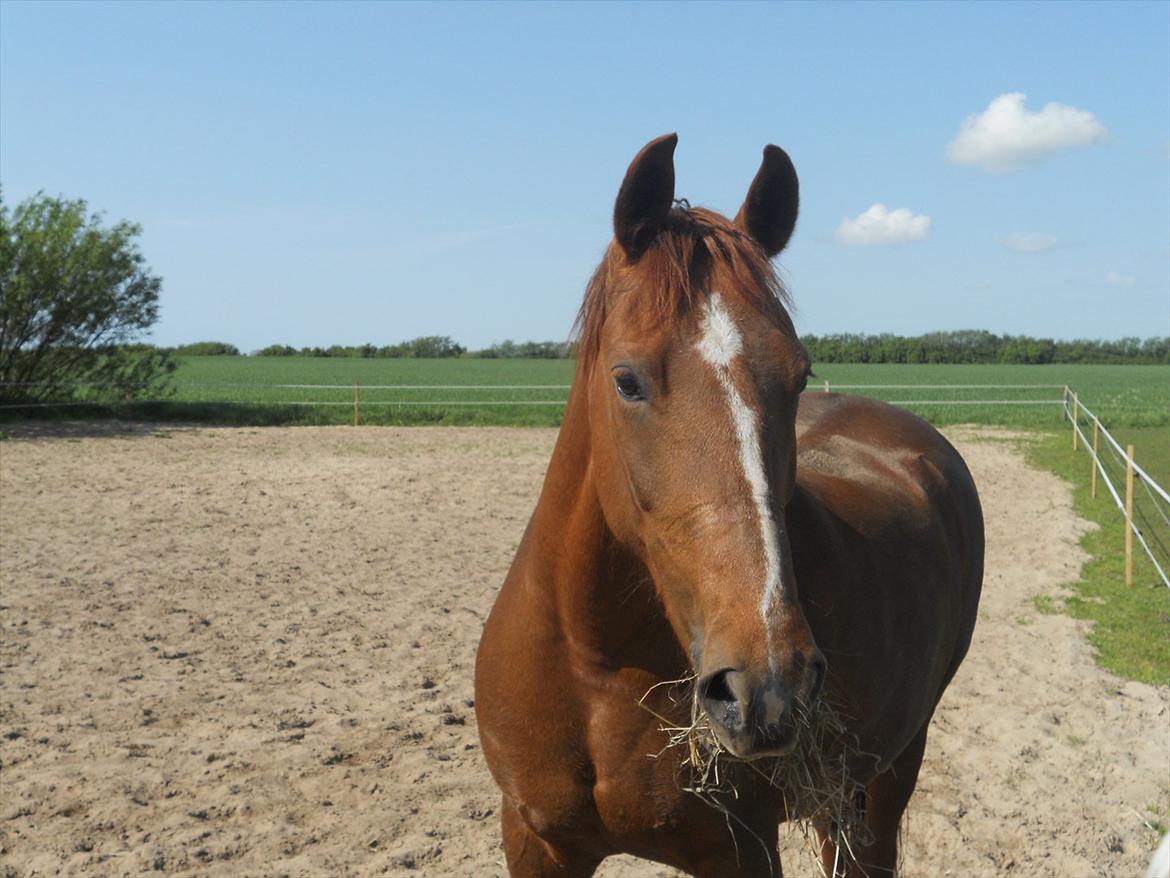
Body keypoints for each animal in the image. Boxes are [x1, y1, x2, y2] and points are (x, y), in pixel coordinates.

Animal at [470, 134, 982, 875]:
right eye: (626, 380)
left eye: (798, 375)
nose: (766, 688)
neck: (593, 667)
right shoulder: (535, 840)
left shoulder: (740, 849)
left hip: (890, 775)